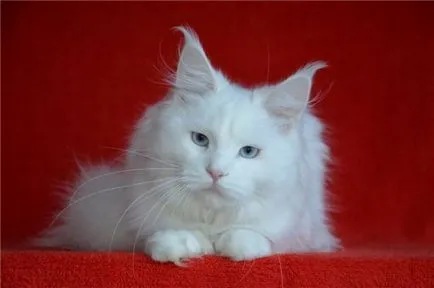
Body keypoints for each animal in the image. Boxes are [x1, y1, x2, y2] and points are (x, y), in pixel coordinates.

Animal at [34, 27, 340, 264]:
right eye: (200, 139)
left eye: (248, 152)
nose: (216, 172)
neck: (211, 221)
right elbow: (162, 233)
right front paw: (180, 245)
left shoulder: (302, 225)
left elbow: (261, 236)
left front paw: (236, 244)